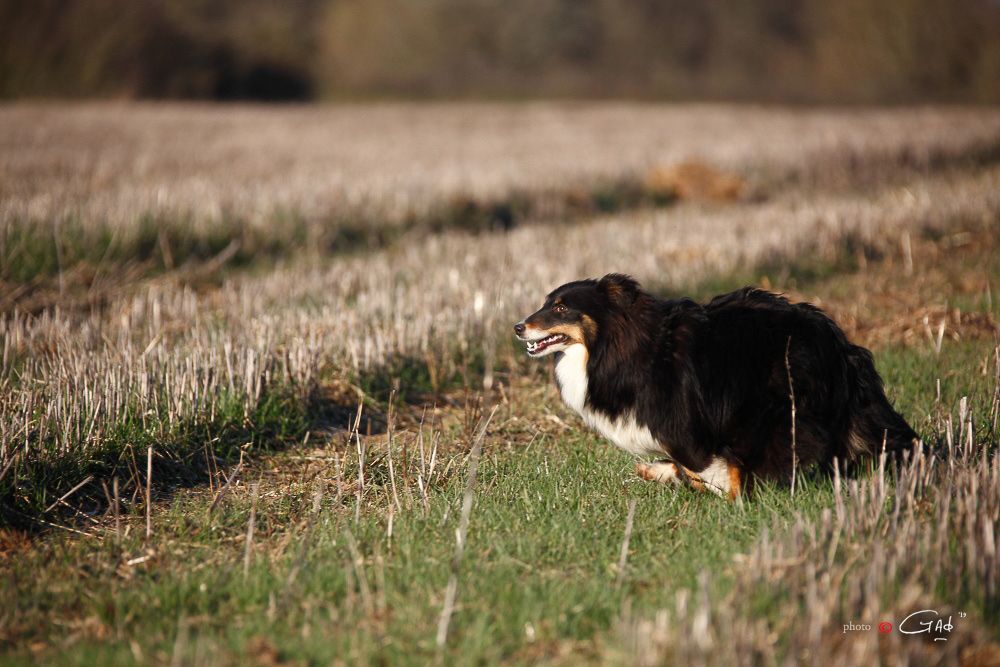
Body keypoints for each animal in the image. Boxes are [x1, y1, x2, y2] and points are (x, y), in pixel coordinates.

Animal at [516, 274, 916, 498]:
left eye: (562, 308)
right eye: (546, 304)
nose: (518, 327)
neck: (617, 347)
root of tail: (842, 348)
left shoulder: (685, 423)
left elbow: (700, 463)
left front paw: (723, 490)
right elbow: (683, 465)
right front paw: (660, 472)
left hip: (768, 404)